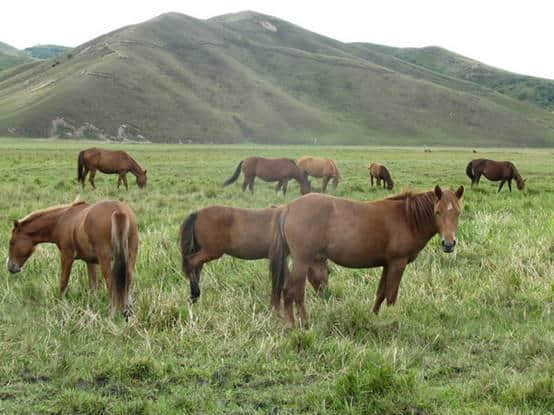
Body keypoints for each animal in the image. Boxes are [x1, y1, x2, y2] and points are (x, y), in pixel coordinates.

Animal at [5, 200, 137, 320]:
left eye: (12, 242)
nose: (10, 267)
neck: (62, 220)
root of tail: (119, 211)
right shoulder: (90, 262)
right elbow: (93, 285)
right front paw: (94, 305)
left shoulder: (66, 255)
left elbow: (63, 281)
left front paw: (60, 305)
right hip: (130, 258)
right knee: (128, 279)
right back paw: (127, 312)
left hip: (105, 260)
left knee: (110, 282)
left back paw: (112, 314)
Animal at [179, 205, 330, 306]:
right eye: (329, 271)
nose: (326, 296)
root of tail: (197, 213)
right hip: (211, 252)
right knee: (191, 263)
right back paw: (195, 294)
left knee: (196, 267)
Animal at [270, 186, 464, 328]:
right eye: (437, 212)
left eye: (458, 213)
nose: (448, 244)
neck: (407, 218)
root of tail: (287, 208)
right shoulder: (398, 263)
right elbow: (391, 295)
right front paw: (392, 320)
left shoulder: (387, 264)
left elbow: (381, 293)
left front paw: (374, 317)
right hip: (301, 261)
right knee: (291, 291)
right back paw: (294, 324)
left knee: (295, 292)